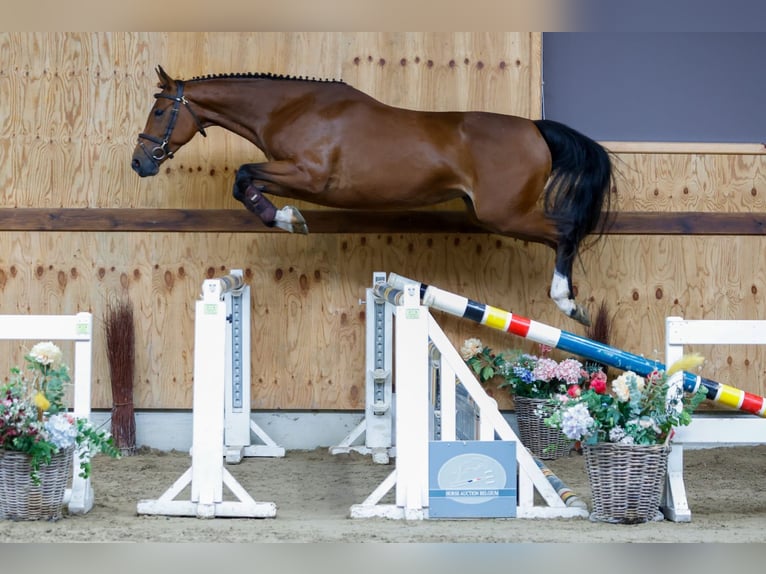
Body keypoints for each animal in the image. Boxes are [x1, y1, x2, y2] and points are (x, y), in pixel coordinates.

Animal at [130, 66, 612, 326]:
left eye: (159, 110)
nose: (140, 163)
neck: (293, 107)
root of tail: (535, 128)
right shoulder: (292, 175)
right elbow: (246, 182)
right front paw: (286, 216)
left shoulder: (308, 176)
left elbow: (243, 175)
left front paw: (288, 219)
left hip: (504, 214)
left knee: (565, 233)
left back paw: (568, 302)